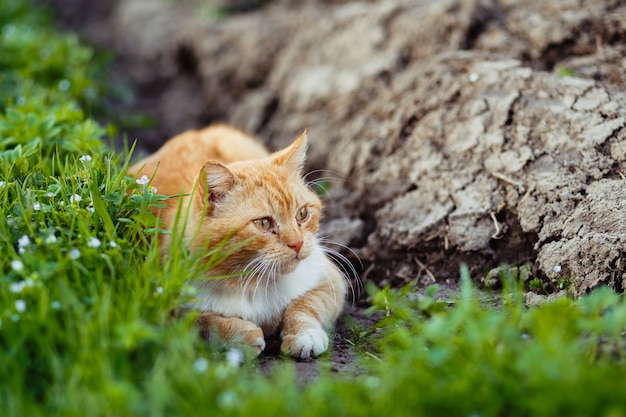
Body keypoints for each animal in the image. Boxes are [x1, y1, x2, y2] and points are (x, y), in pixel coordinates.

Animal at [129, 123, 346, 358]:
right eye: (264, 223)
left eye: (302, 214)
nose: (298, 243)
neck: (255, 284)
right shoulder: (164, 308)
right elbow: (203, 322)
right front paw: (239, 335)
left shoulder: (330, 280)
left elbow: (304, 305)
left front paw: (304, 334)